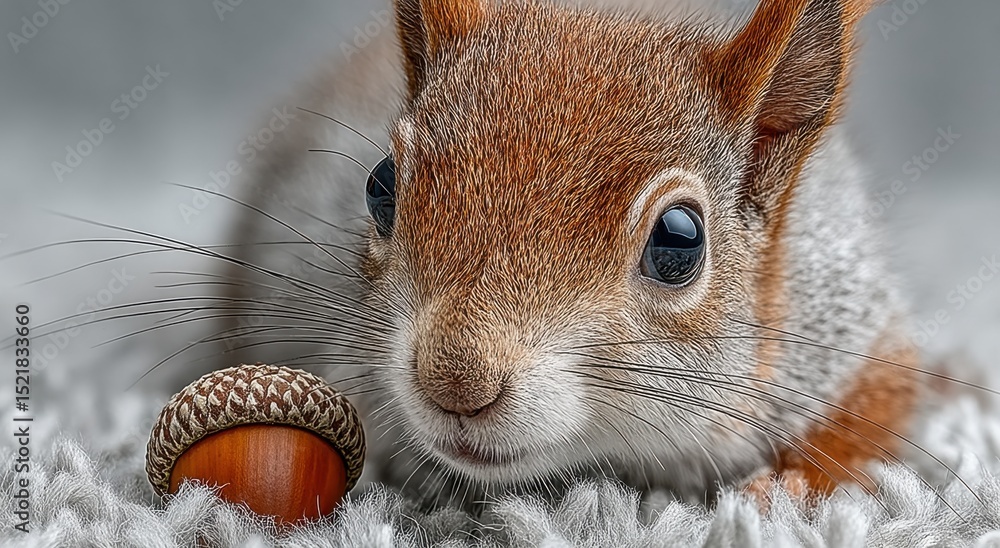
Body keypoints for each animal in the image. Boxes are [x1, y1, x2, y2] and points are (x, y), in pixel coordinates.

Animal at [215, 0, 921, 505]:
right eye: (381, 187)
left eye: (679, 240)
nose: (456, 381)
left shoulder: (844, 324)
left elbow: (877, 414)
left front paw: (785, 487)